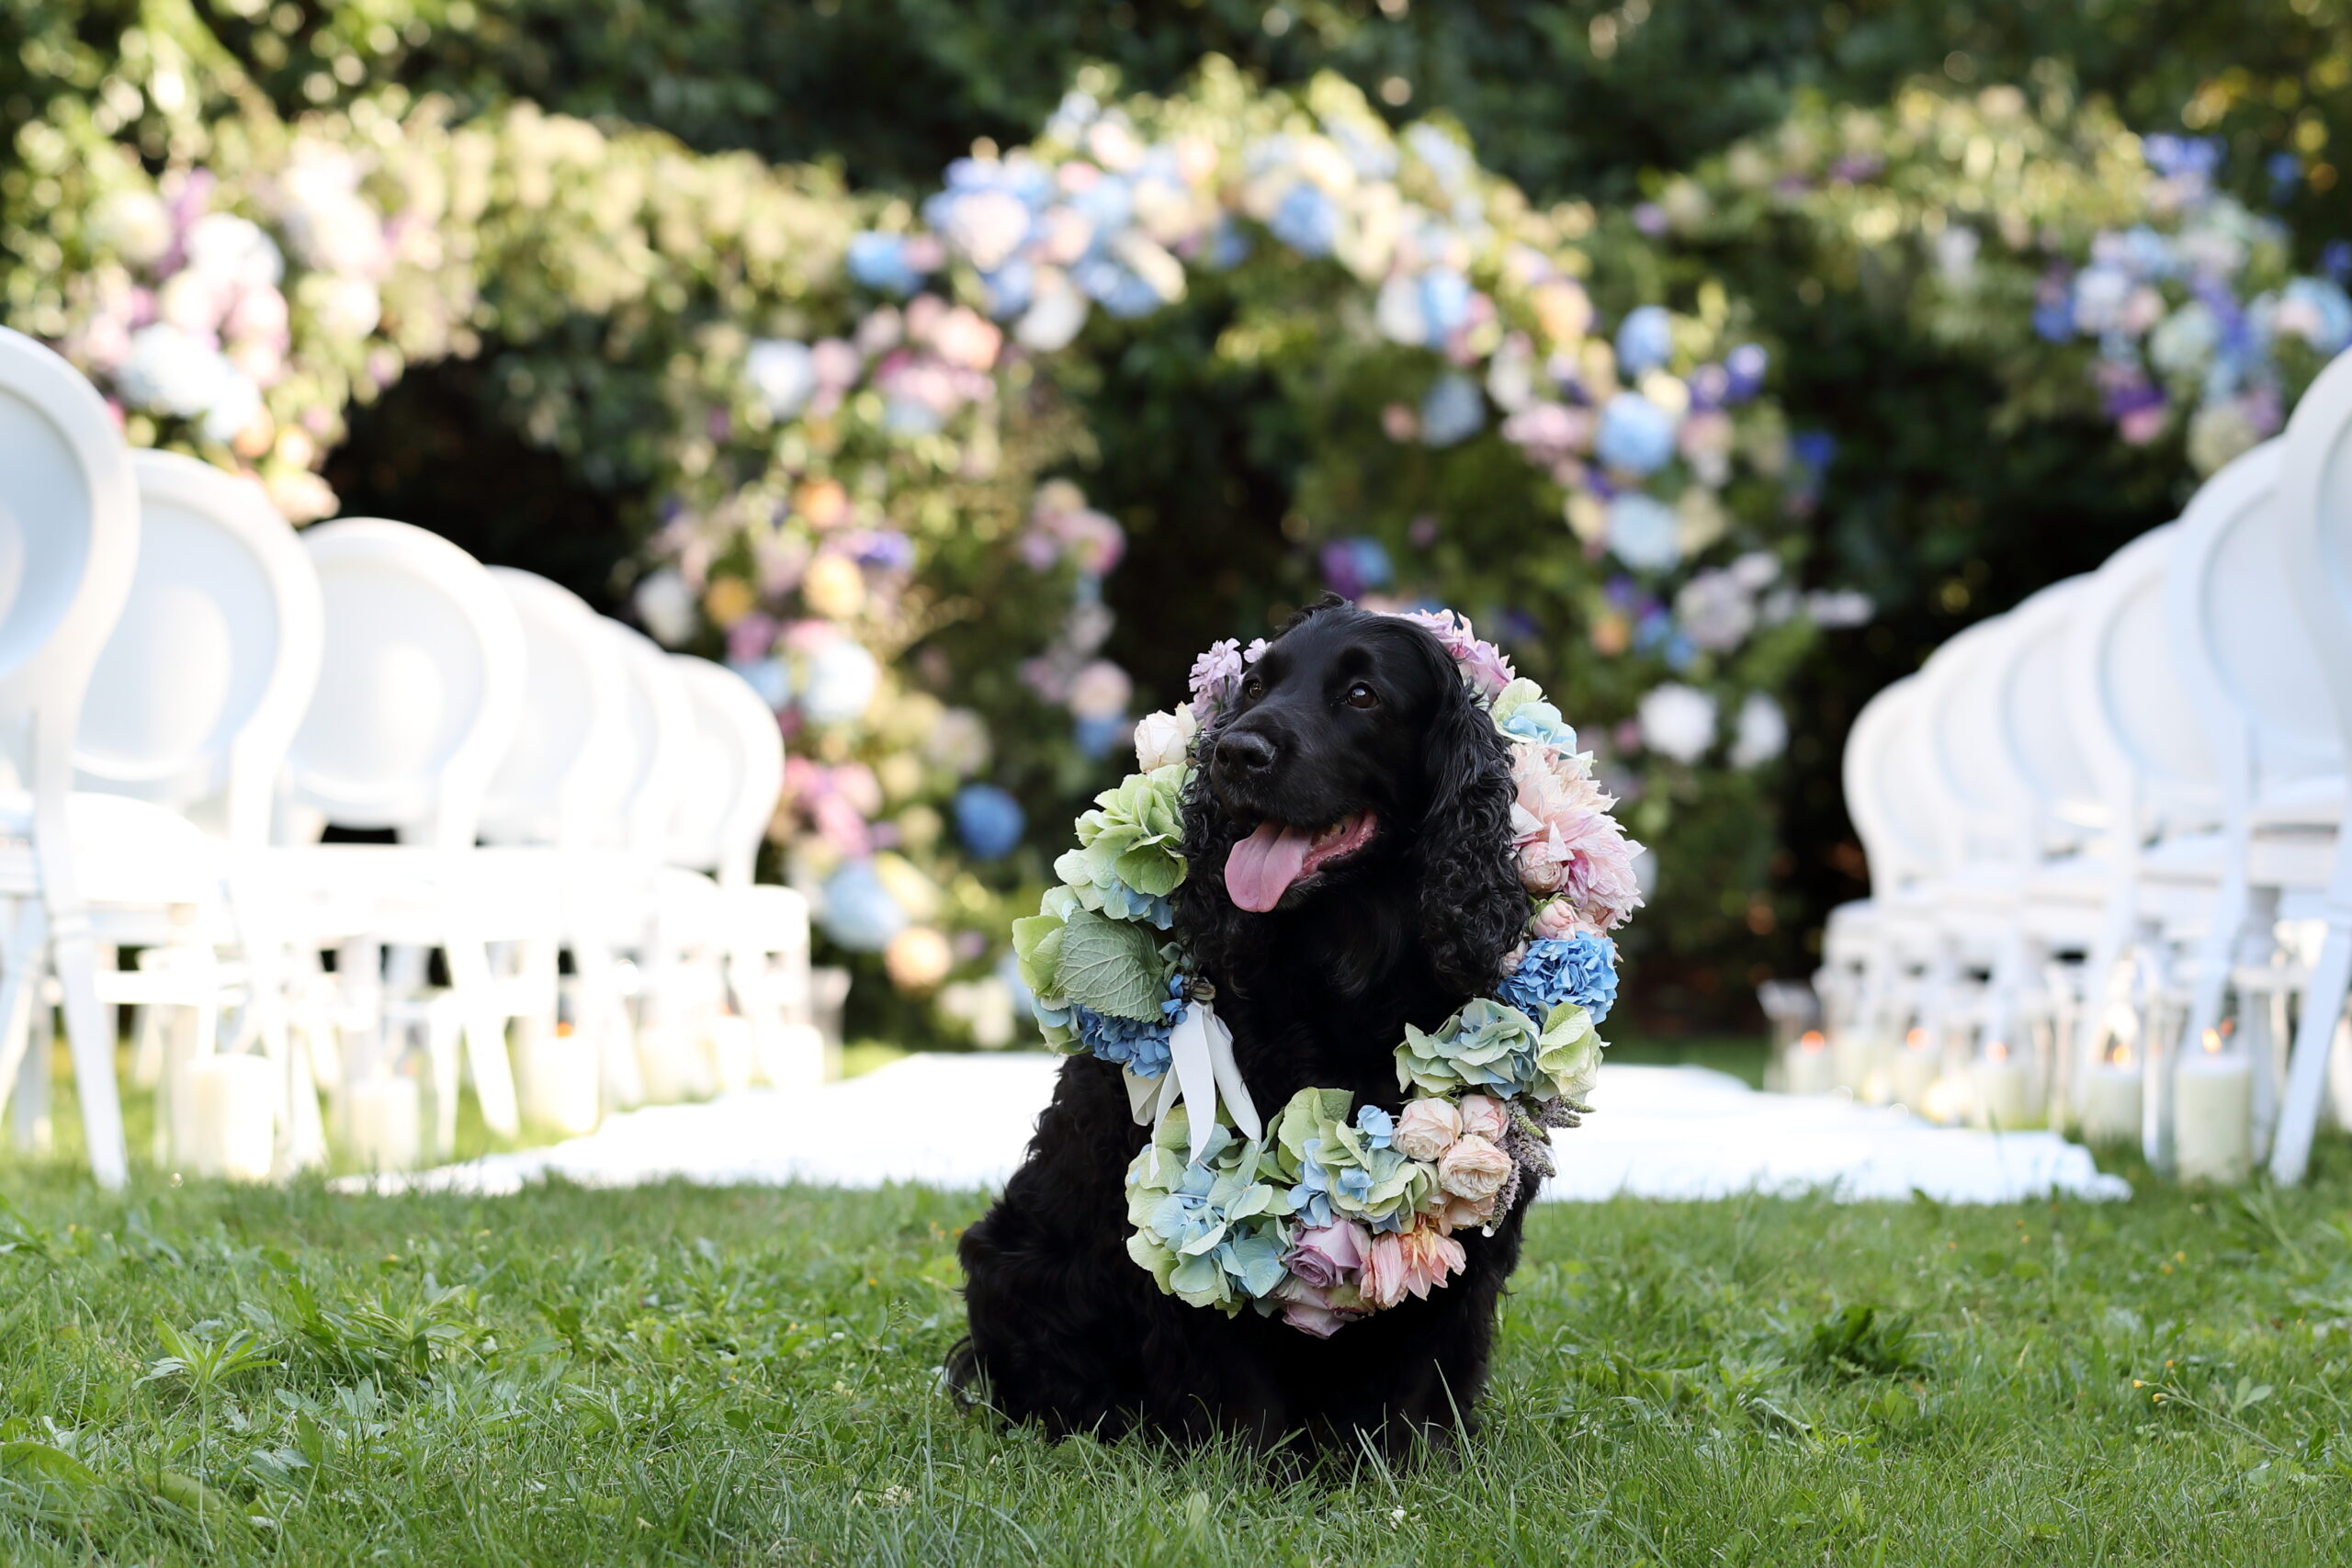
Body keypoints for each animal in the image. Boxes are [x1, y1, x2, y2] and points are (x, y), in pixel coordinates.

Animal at [945, 606, 1533, 1457]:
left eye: (1362, 694)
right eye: (1254, 686)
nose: (1236, 750)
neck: (1343, 969)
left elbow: (1421, 1372)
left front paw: (1403, 1468)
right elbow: (1228, 1363)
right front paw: (1244, 1475)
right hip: (1017, 1256)